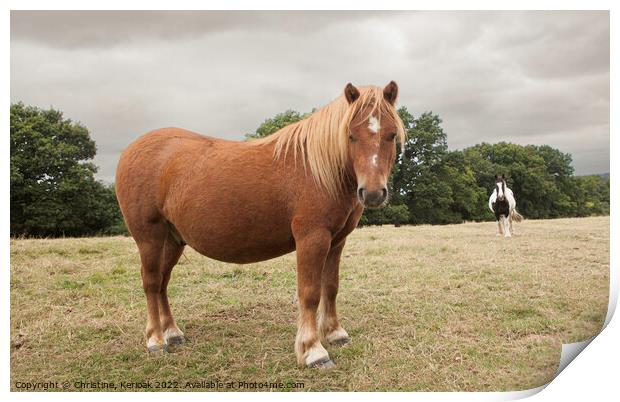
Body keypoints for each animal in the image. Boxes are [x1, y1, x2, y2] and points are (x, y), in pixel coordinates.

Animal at [116, 81, 406, 368]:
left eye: (391, 135)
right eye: (351, 135)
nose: (372, 193)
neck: (320, 171)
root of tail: (131, 150)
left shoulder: (336, 241)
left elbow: (331, 287)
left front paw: (335, 333)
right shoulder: (312, 238)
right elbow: (310, 292)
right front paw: (313, 350)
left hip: (174, 239)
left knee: (163, 282)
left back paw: (172, 333)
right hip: (149, 236)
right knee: (151, 281)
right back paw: (155, 340)